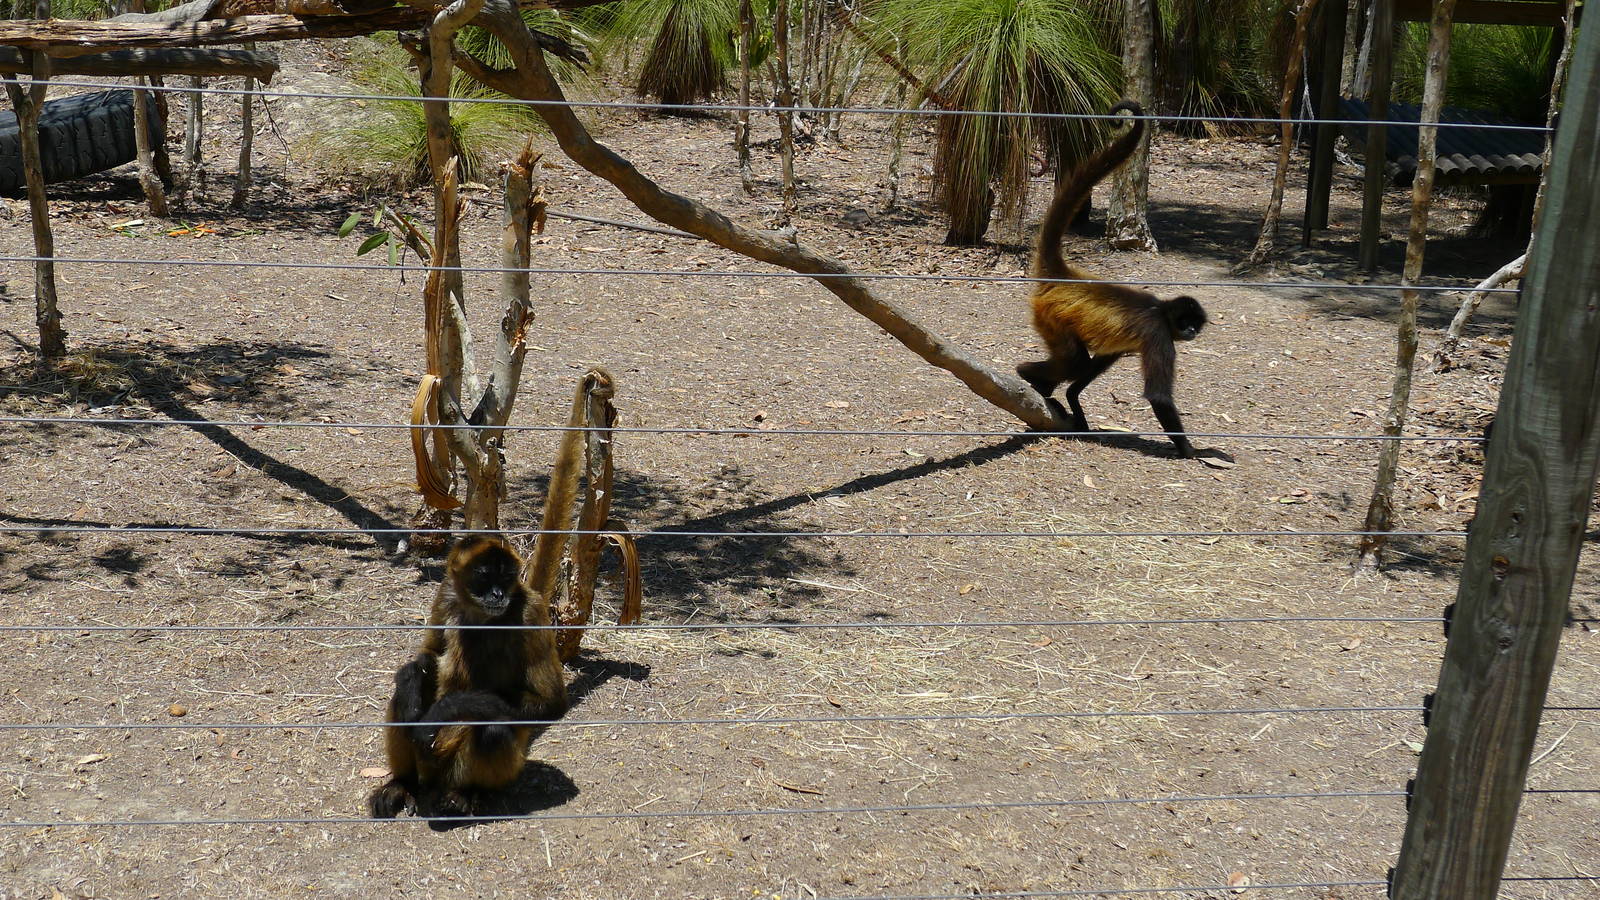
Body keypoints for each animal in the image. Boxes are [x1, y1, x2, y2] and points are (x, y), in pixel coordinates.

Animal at [367, 535, 568, 819]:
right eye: (484, 575)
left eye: (507, 576)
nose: (498, 594)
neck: (479, 616)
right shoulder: (447, 592)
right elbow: (429, 655)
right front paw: (410, 678)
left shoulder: (531, 611)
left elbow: (552, 702)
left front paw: (444, 711)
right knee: (402, 702)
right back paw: (403, 783)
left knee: (494, 728)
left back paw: (463, 794)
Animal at [1015, 99, 1208, 459]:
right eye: (1184, 322)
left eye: (1195, 324)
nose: (1190, 331)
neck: (1161, 310)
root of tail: (1066, 275)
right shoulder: (1158, 333)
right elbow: (1158, 396)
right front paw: (1193, 451)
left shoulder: (1125, 346)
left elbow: (1098, 364)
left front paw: (1074, 402)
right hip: (1050, 316)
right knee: (1074, 361)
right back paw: (1027, 376)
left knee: (1078, 363)